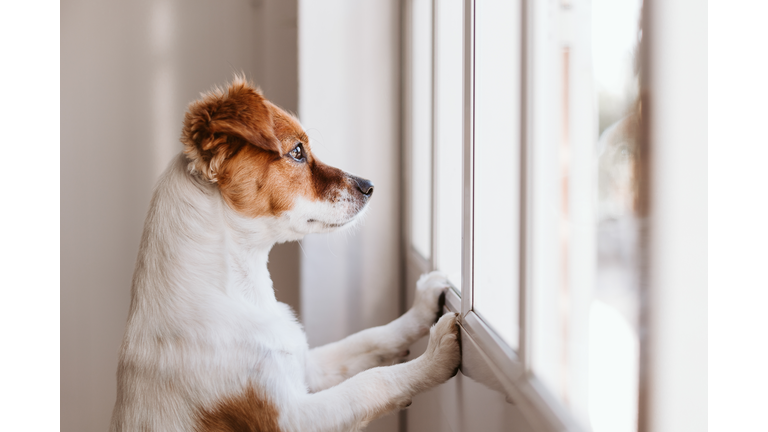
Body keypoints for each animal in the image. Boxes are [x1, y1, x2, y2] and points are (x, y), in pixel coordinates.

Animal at [110, 77, 460, 432]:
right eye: (297, 152)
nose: (370, 186)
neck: (241, 291)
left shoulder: (307, 366)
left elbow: (370, 339)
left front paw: (422, 307)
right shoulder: (290, 418)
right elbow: (371, 382)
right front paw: (435, 357)